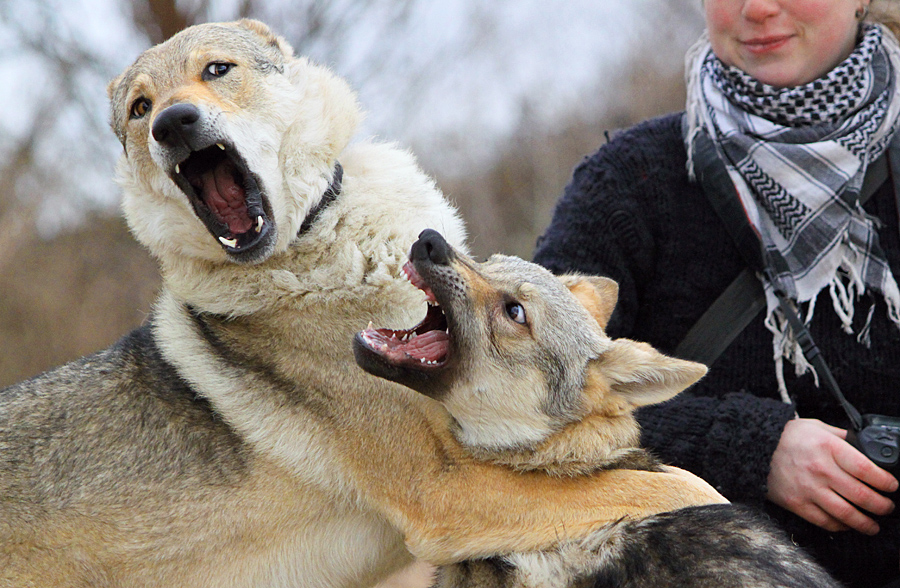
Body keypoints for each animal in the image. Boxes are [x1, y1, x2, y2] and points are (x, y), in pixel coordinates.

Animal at [0, 19, 724, 588]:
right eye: (140, 107)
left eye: (216, 70)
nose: (173, 124)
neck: (325, 247)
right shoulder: (449, 490)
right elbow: (685, 486)